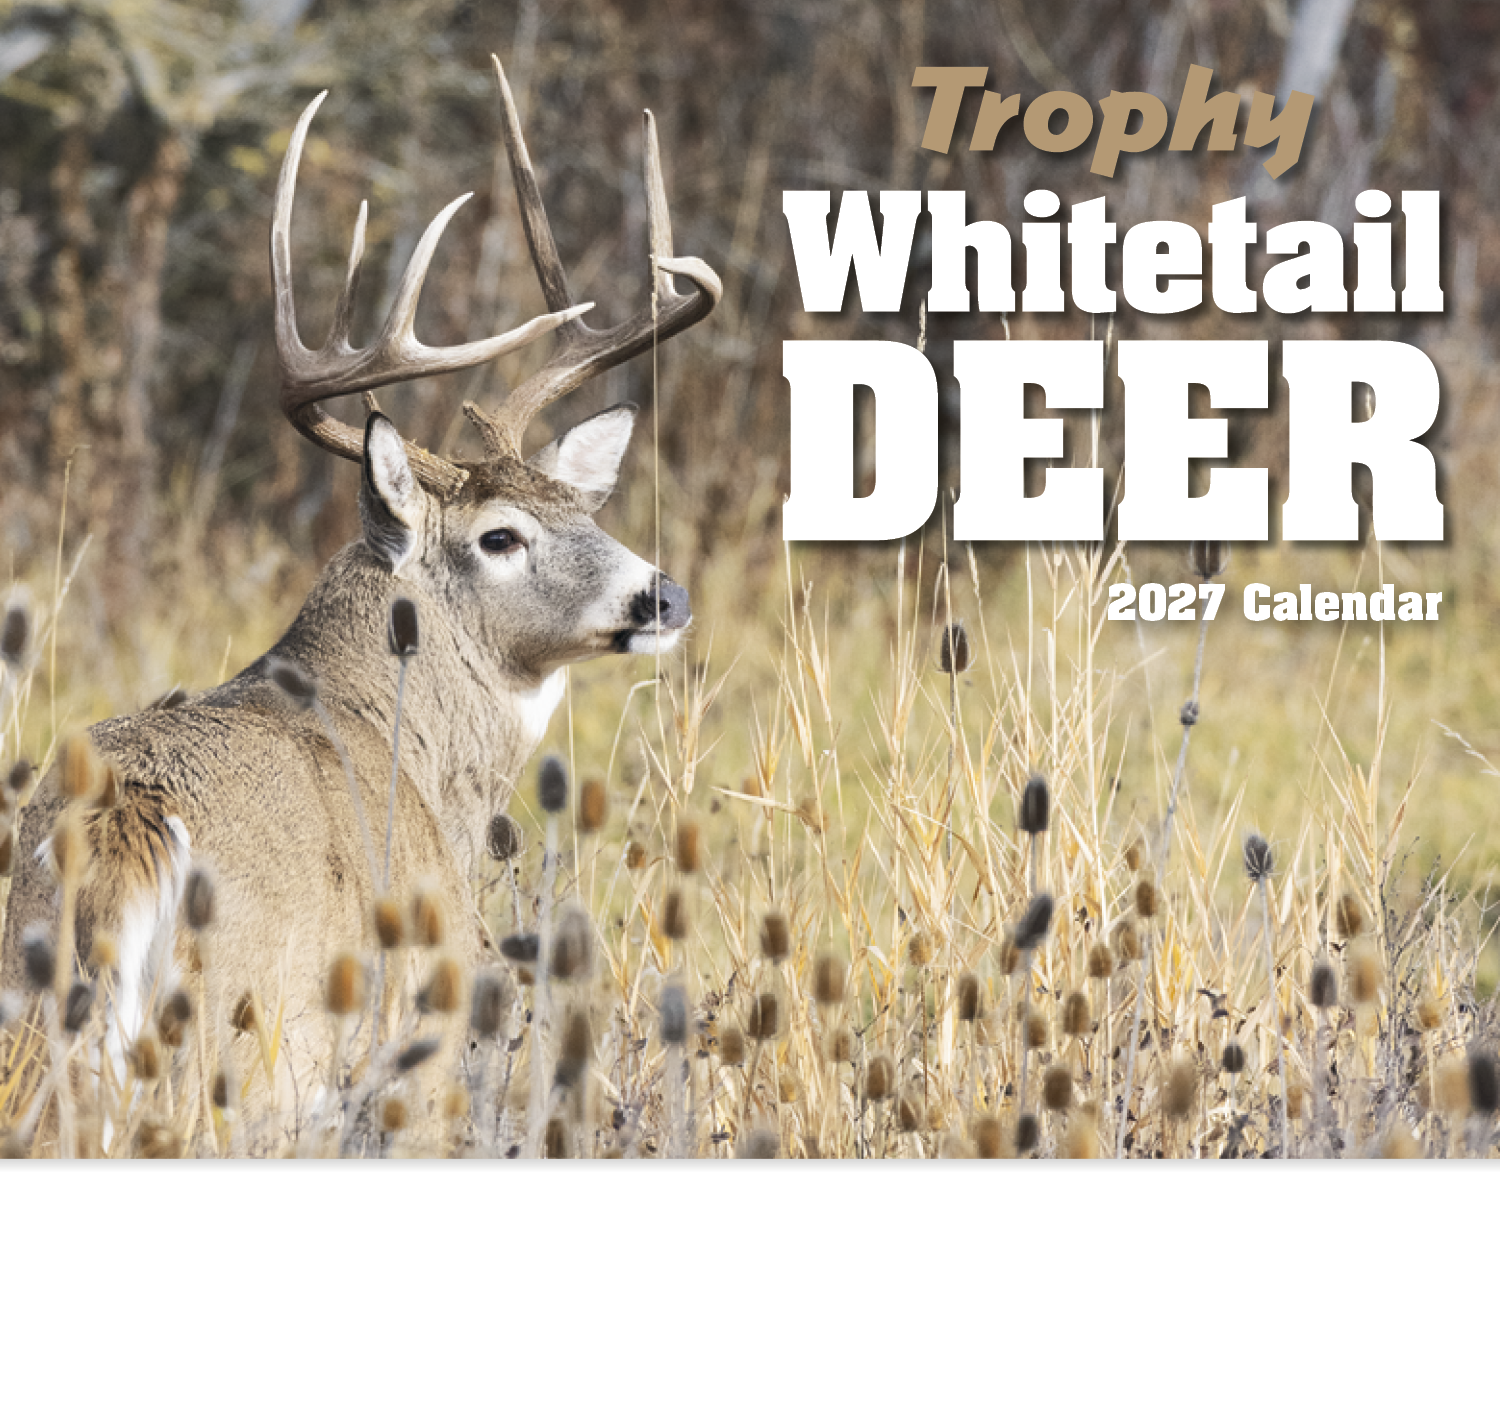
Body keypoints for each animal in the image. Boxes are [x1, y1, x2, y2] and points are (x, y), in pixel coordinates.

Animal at [0, 56, 721, 1154]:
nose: (663, 594)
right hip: (244, 1053)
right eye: (499, 535)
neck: (412, 751)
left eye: (576, 506)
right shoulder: (417, 1033)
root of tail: (128, 821)